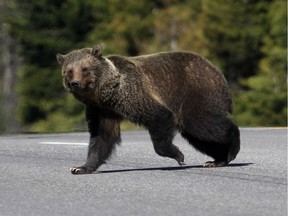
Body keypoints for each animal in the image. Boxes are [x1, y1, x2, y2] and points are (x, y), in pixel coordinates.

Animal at [56, 45, 241, 174]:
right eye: (69, 71)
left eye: (85, 68)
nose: (75, 83)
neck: (107, 94)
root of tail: (215, 70)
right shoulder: (101, 110)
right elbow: (102, 136)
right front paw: (81, 167)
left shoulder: (133, 95)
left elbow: (159, 117)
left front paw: (178, 155)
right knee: (198, 135)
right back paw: (217, 160)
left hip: (195, 91)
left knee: (202, 124)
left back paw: (231, 150)